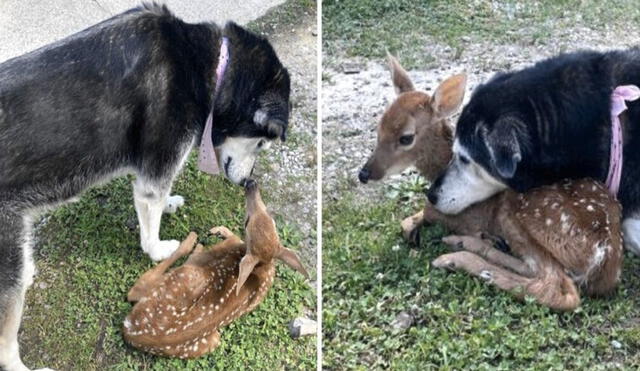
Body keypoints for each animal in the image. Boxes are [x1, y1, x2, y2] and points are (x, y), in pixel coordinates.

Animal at [0, 3, 290, 371]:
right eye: (262, 144)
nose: (249, 181)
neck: (208, 66)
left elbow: (161, 197)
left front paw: (170, 204)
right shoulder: (155, 173)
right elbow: (151, 225)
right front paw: (158, 249)